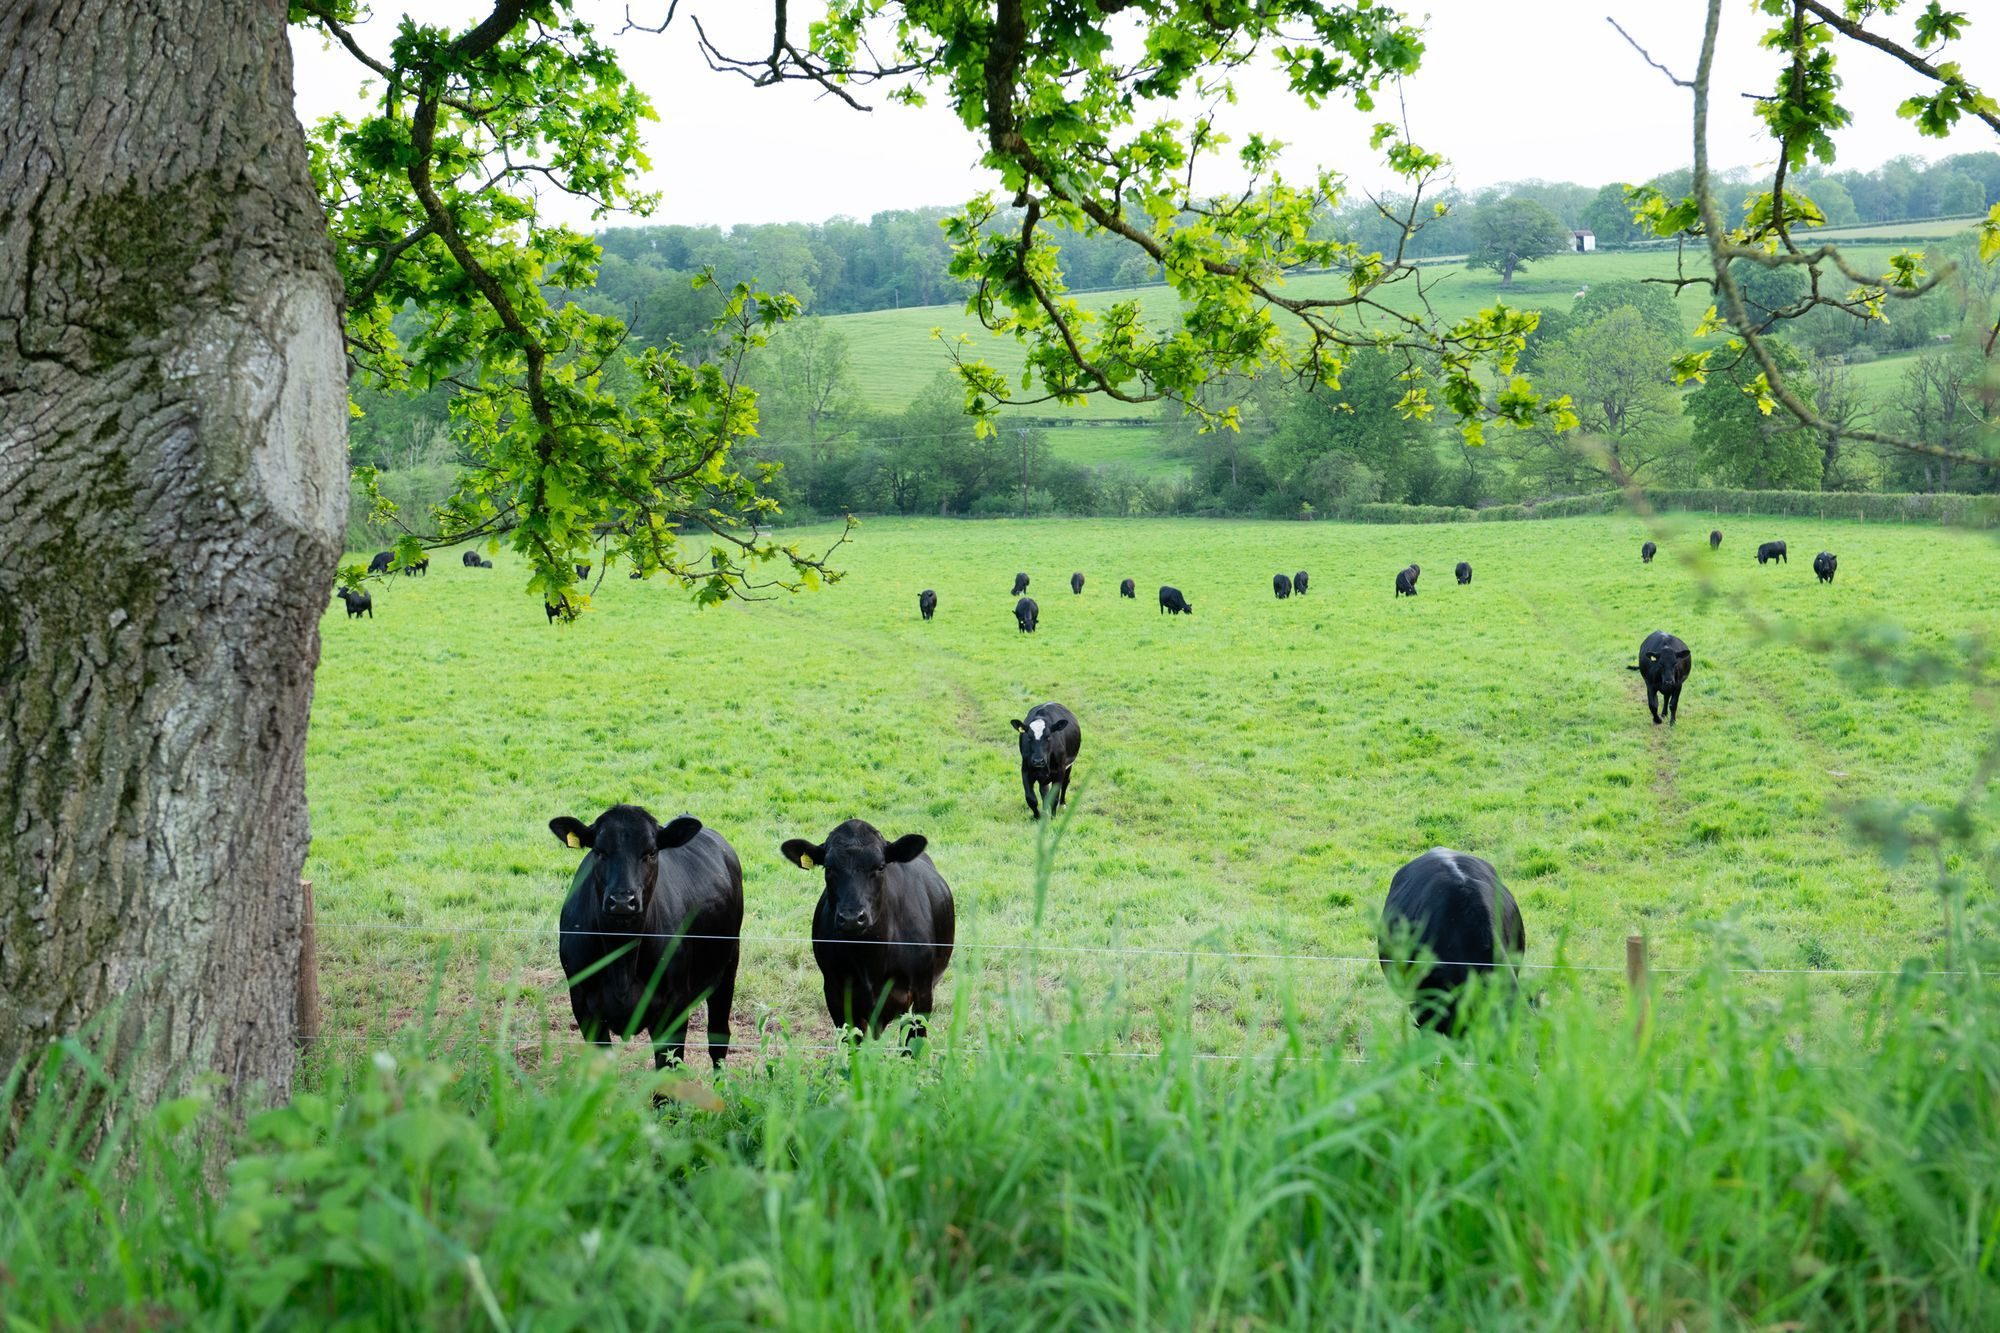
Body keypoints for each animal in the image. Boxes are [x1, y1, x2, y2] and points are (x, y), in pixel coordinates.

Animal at [548, 804, 743, 1068]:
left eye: (650, 852)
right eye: (599, 851)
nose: (622, 901)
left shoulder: (672, 1008)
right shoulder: (583, 1005)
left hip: (728, 967)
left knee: (718, 1039)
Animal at [780, 820, 954, 1040]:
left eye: (880, 867)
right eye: (828, 868)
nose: (852, 918)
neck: (870, 956)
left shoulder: (922, 993)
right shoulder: (835, 995)